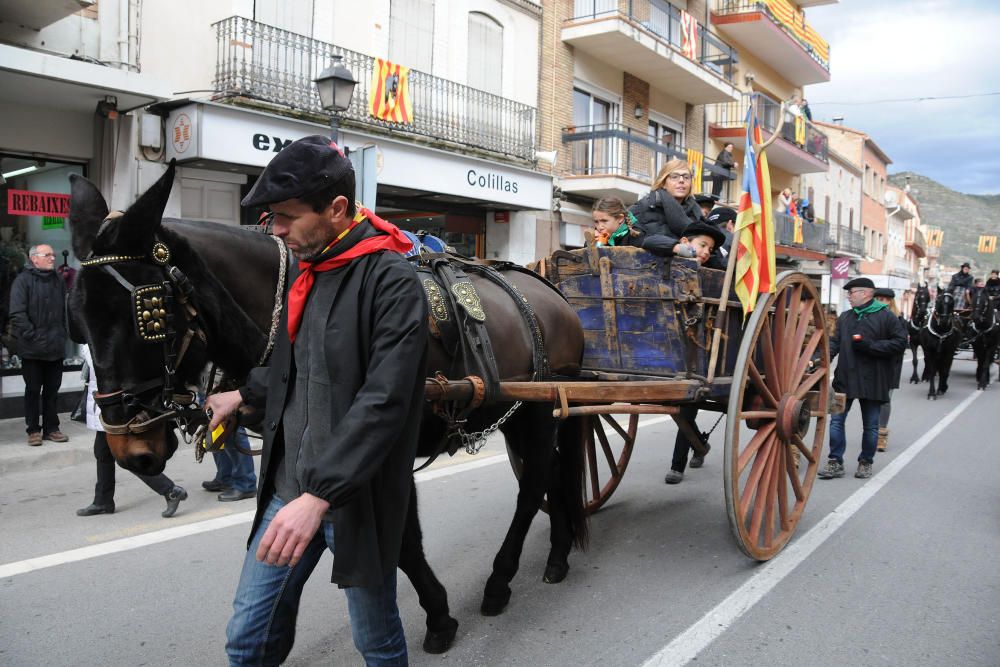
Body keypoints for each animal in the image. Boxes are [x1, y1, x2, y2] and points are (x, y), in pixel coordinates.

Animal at [64, 164, 592, 656]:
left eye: (150, 314)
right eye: (79, 317)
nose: (130, 447)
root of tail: (550, 293)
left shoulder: (385, 448)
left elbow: (400, 540)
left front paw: (439, 618)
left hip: (538, 413)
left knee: (533, 489)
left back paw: (502, 581)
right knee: (552, 477)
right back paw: (559, 553)